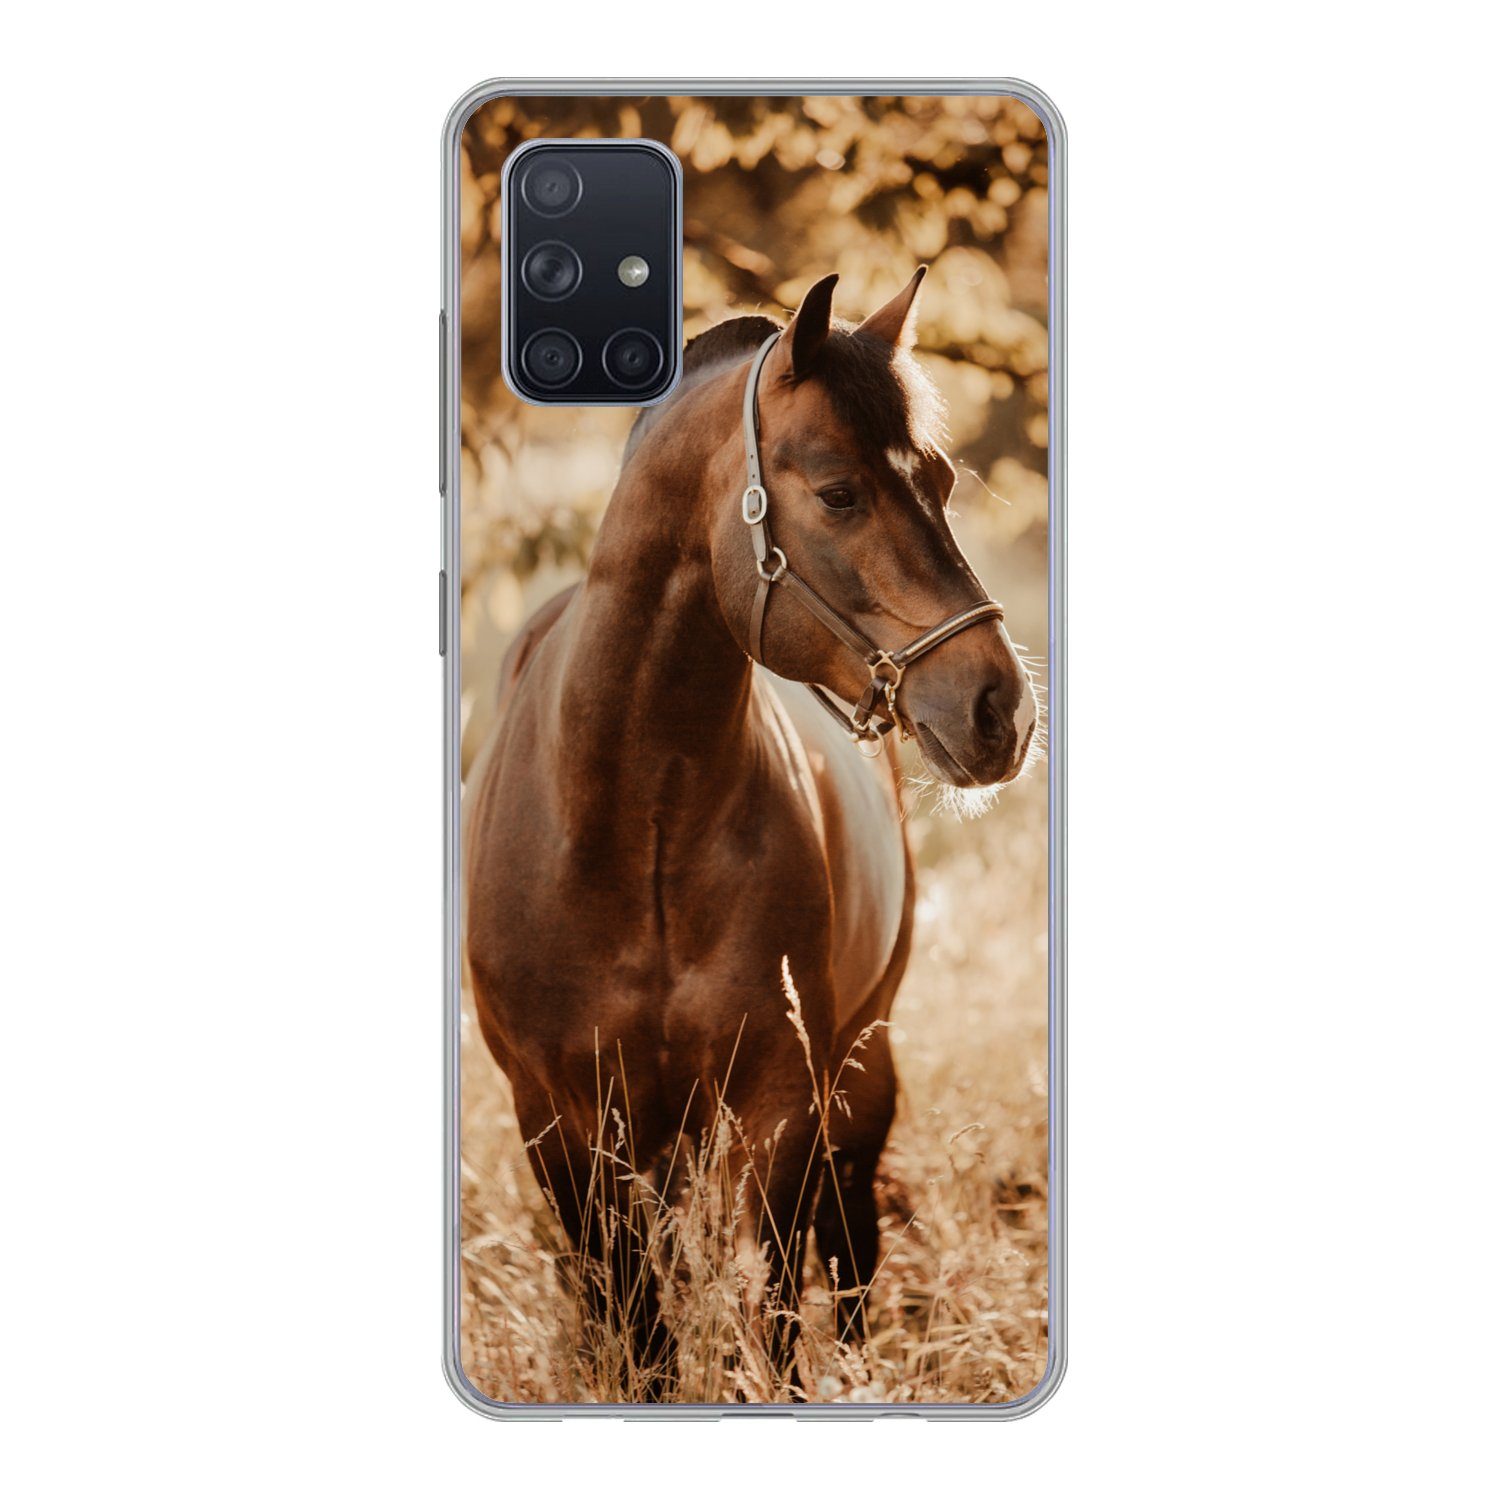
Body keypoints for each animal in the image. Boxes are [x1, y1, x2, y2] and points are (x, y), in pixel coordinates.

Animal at [463, 268, 1039, 1398]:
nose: (1001, 707)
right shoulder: (559, 1121)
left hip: (857, 1073)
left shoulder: (776, 1108)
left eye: (942, 480)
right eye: (839, 493)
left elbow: (765, 1325)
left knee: (849, 1255)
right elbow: (639, 1339)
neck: (632, 825)